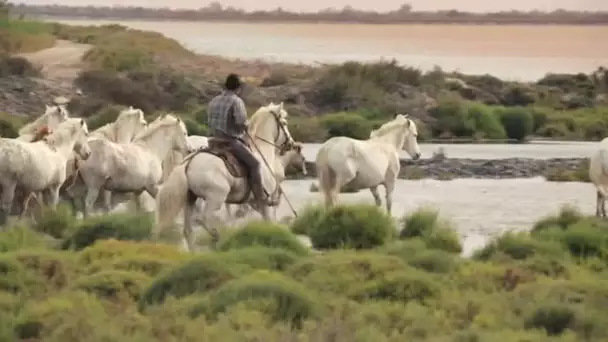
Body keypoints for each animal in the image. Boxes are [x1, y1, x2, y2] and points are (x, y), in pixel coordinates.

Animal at [156, 102, 296, 251]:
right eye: (284, 123)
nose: (291, 143)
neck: (262, 152)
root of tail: (189, 162)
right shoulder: (264, 202)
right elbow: (268, 222)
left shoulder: (254, 203)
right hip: (215, 198)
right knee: (203, 219)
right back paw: (216, 236)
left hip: (190, 199)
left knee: (188, 231)